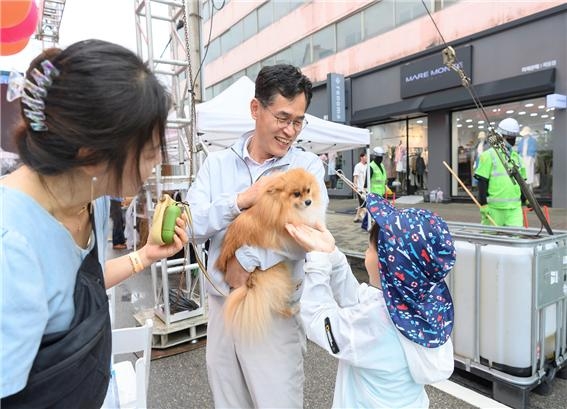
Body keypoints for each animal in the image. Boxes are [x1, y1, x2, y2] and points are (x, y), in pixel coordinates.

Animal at [216, 167, 326, 340]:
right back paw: (292, 309)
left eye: (308, 190)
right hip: (276, 273)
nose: (309, 202)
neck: (282, 205)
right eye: (296, 194)